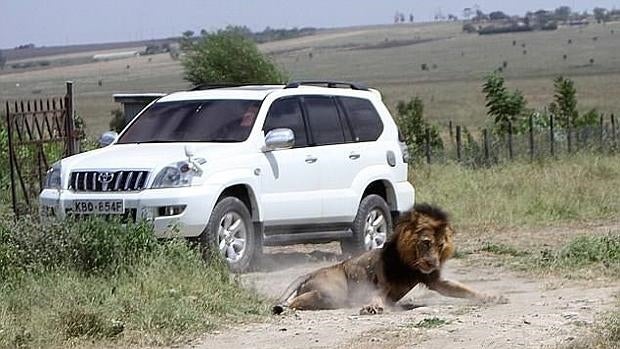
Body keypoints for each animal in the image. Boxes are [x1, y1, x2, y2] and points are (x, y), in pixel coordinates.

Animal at [272, 203, 504, 314]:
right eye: (426, 243)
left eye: (440, 246)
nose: (433, 263)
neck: (411, 263)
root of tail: (310, 272)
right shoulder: (381, 282)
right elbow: (377, 295)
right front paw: (372, 307)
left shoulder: (434, 280)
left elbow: (464, 290)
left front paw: (492, 297)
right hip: (333, 292)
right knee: (298, 300)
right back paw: (284, 307)